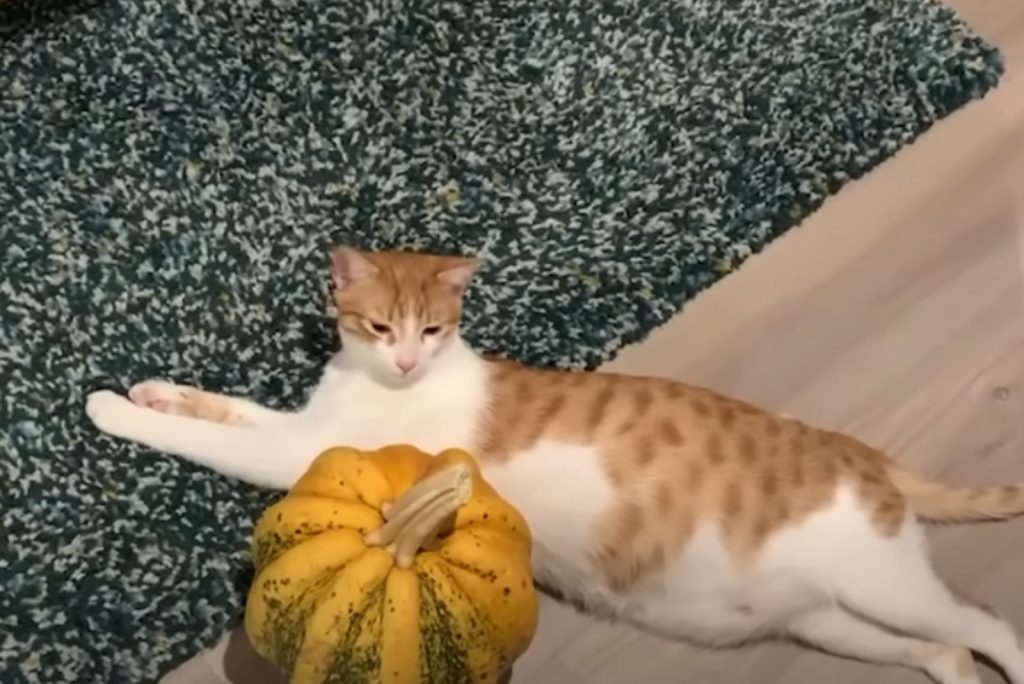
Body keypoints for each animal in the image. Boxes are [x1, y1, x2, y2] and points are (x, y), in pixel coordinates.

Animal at [86, 245, 1024, 684]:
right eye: (380, 327)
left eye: (431, 330)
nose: (406, 362)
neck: (373, 380)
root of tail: (864, 452)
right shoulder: (305, 428)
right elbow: (220, 409)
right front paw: (157, 389)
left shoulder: (292, 453)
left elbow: (216, 435)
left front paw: (109, 408)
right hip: (828, 620)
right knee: (945, 652)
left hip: (883, 584)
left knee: (990, 626)